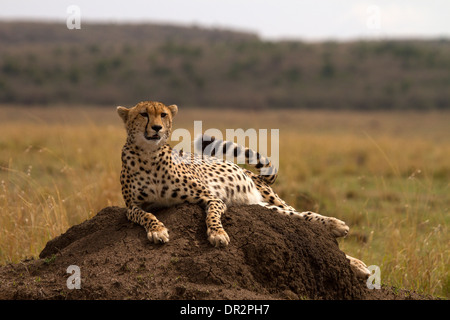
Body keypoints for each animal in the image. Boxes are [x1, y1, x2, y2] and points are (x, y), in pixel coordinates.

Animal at [118, 100, 370, 278]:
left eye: (163, 115)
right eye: (143, 114)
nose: (157, 128)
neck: (149, 155)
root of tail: (251, 174)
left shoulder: (212, 198)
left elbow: (212, 215)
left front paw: (218, 234)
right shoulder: (132, 207)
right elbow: (146, 214)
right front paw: (158, 230)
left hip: (271, 200)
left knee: (303, 214)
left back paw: (341, 233)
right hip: (262, 207)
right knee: (297, 217)